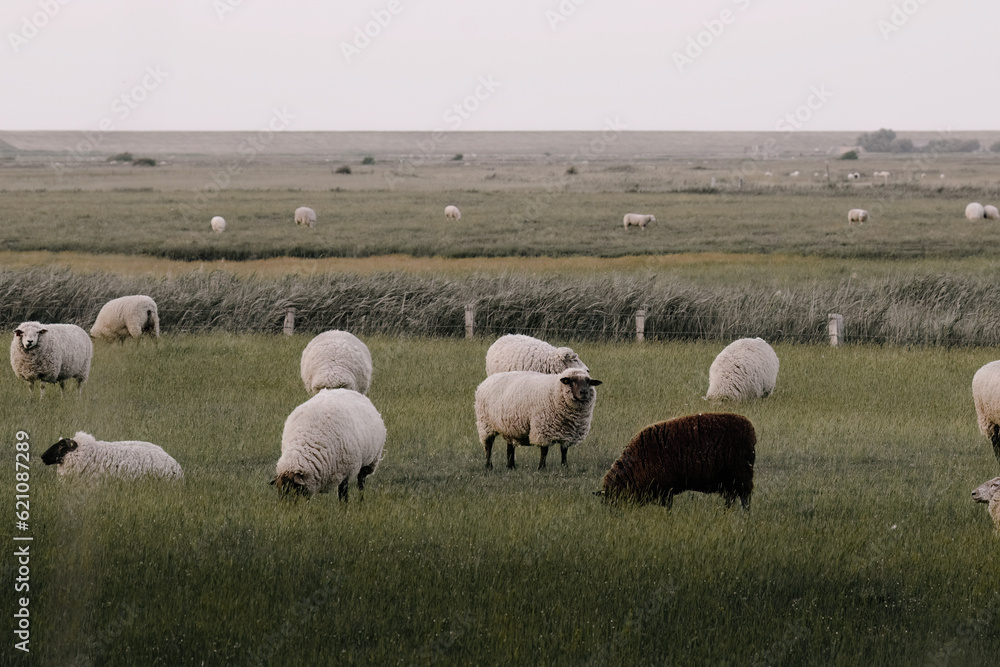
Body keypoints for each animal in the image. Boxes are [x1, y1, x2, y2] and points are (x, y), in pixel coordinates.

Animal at [600, 413, 755, 509]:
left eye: (614, 499)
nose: (615, 515)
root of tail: (751, 430)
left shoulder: (666, 489)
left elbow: (668, 507)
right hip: (730, 481)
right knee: (731, 500)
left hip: (742, 477)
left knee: (745, 501)